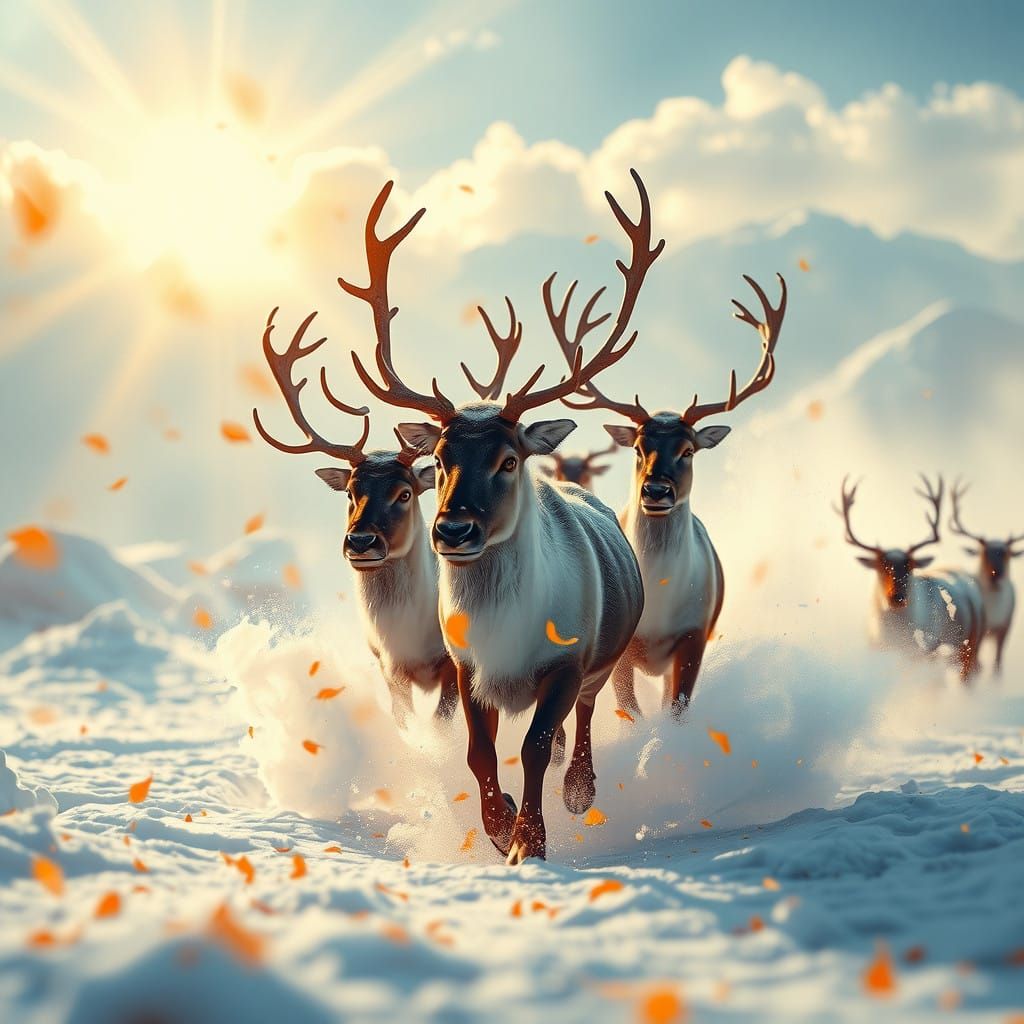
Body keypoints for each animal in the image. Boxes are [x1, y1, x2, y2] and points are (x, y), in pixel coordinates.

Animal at [252, 306, 457, 728]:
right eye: (350, 491)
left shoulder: (452, 669)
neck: (411, 644)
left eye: (405, 492)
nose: (361, 541)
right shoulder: (387, 668)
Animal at [337, 176, 654, 864]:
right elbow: (479, 755)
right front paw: (500, 823)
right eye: (438, 458)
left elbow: (533, 747)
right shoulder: (463, 669)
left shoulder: (565, 663)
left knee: (581, 721)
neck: (505, 637)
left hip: (601, 659)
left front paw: (529, 842)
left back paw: (579, 791)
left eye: (509, 459)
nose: (453, 531)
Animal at [551, 263, 787, 719]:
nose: (656, 491)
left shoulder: (695, 634)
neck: (659, 611)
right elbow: (629, 710)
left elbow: (676, 710)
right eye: (639, 447)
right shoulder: (620, 648)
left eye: (688, 449)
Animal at [836, 475, 985, 681]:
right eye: (881, 567)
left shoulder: (925, 651)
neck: (897, 638)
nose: (897, 597)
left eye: (910, 566)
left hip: (968, 648)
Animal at [949, 480, 1021, 675]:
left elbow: (997, 665)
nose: (996, 574)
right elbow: (974, 665)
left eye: (1007, 554)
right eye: (984, 553)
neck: (993, 612)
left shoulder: (1005, 627)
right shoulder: (977, 629)